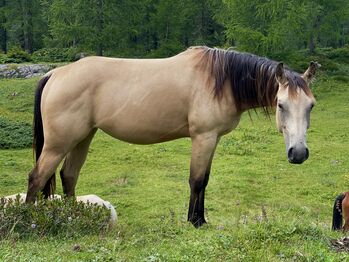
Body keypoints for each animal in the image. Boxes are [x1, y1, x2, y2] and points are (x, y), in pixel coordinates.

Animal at [25, 46, 318, 226]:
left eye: (311, 105)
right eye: (281, 104)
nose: (298, 154)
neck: (221, 80)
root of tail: (55, 73)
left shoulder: (213, 139)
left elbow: (205, 180)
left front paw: (201, 219)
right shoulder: (203, 137)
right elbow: (196, 180)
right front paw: (194, 221)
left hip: (83, 138)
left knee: (69, 176)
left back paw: (73, 217)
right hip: (58, 143)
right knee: (37, 177)